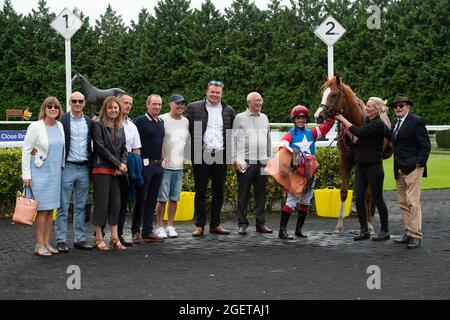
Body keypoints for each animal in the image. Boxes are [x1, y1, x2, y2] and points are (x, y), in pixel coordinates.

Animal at [314, 76, 392, 234]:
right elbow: (344, 192)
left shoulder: (366, 165)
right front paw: (339, 224)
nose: (318, 116)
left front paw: (369, 225)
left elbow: (367, 195)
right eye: (322, 93)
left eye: (334, 94)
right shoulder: (345, 161)